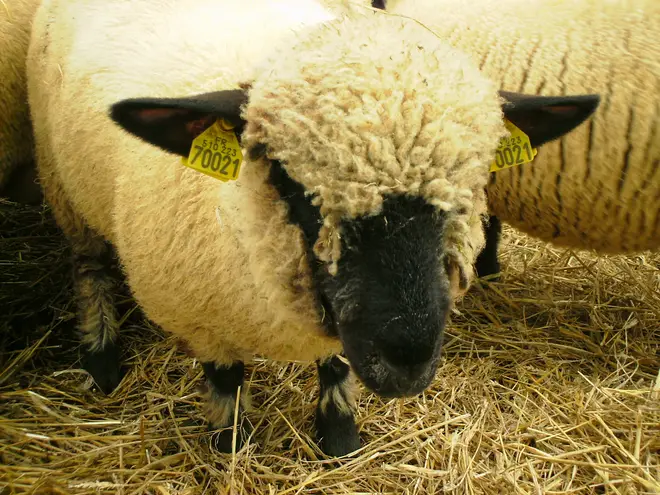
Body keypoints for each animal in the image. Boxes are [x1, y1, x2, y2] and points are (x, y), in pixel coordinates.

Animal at [26, 0, 598, 456]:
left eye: (475, 184)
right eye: (287, 177)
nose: (408, 361)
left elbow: (337, 363)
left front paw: (339, 438)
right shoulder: (202, 319)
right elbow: (226, 379)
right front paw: (229, 447)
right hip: (61, 182)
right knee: (89, 267)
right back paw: (101, 357)